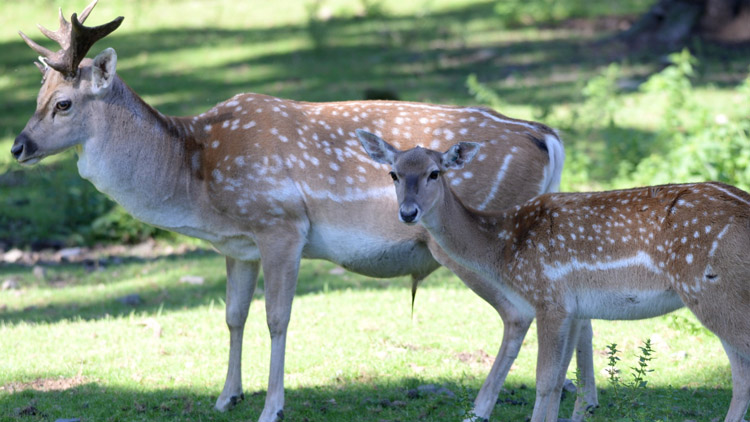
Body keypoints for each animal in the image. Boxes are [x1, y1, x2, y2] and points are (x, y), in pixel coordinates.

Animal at [11, 1, 596, 420]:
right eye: (37, 95)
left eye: (64, 103)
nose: (17, 147)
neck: (196, 177)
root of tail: (547, 136)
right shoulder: (238, 244)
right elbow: (232, 315)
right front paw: (226, 397)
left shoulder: (281, 223)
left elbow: (277, 318)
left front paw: (272, 406)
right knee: (575, 306)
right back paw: (586, 399)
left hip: (474, 238)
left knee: (520, 313)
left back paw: (488, 406)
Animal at [356, 131, 750, 422]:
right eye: (393, 173)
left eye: (434, 172)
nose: (408, 212)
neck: (503, 247)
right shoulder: (575, 308)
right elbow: (561, 380)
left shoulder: (548, 296)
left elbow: (544, 381)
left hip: (714, 291)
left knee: (742, 374)